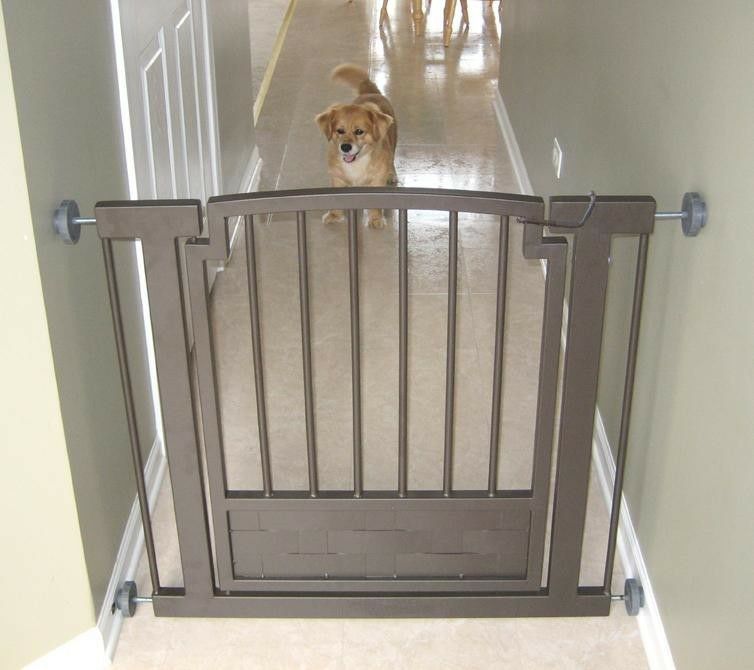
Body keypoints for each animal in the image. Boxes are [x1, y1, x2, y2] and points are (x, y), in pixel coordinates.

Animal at [315, 64, 397, 228]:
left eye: (359, 131)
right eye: (339, 131)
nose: (345, 147)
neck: (357, 163)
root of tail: (371, 92)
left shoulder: (377, 180)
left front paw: (376, 219)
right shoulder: (337, 178)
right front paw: (334, 215)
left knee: (392, 160)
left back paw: (392, 175)